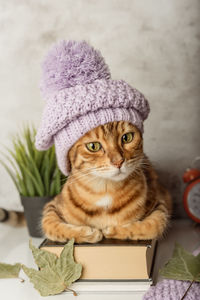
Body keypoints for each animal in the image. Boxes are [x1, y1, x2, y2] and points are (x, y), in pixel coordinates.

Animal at [42, 120, 172, 243]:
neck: (105, 191)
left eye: (127, 137)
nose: (118, 162)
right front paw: (88, 233)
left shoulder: (159, 202)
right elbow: (49, 224)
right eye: (93, 146)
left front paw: (112, 230)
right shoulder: (53, 204)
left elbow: (155, 225)